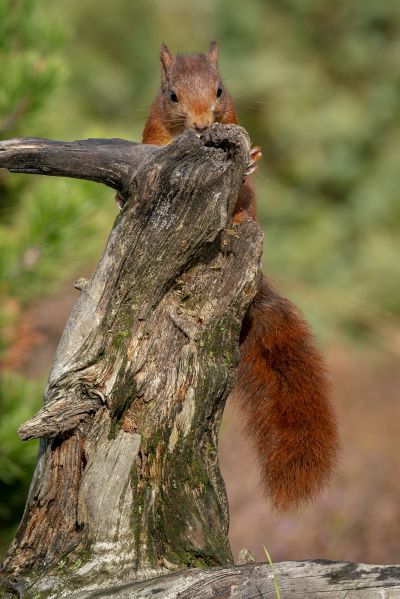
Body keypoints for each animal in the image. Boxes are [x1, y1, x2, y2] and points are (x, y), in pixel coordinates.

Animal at [130, 41, 338, 510]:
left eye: (220, 89)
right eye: (172, 94)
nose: (203, 123)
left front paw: (255, 159)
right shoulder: (153, 134)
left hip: (247, 212)